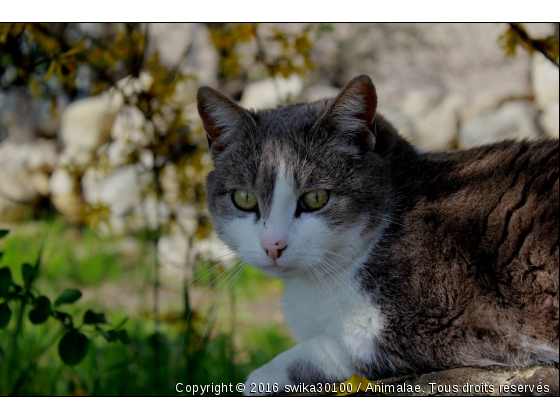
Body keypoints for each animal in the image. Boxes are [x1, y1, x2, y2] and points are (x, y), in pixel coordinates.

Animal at [195, 74, 556, 394]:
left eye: (316, 198)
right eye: (244, 199)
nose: (273, 245)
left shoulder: (438, 322)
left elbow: (320, 352)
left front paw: (258, 378)